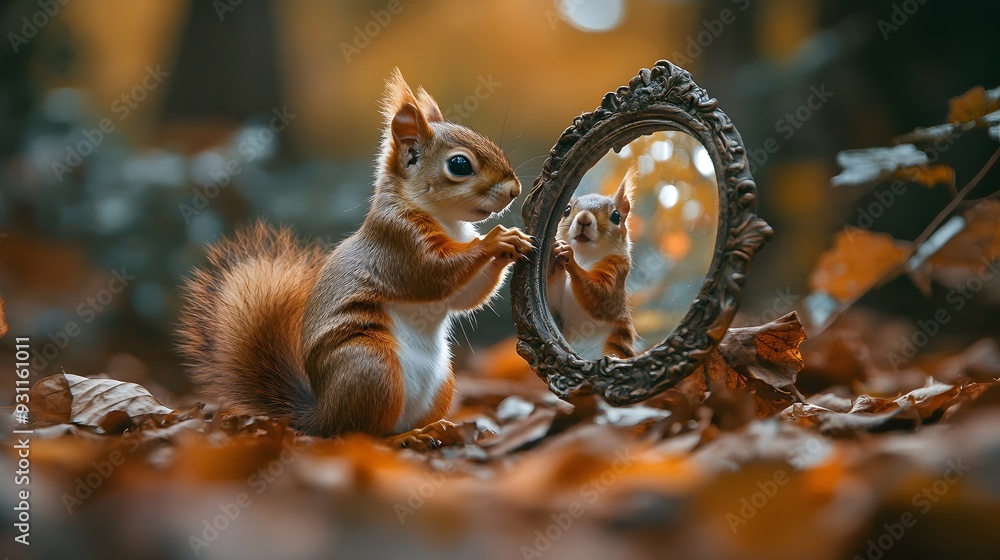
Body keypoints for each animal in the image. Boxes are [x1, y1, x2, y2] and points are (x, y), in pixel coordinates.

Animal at [177, 69, 532, 438]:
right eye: (460, 164)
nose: (515, 190)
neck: (446, 221)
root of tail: (320, 416)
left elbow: (465, 297)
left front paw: (514, 242)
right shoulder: (398, 242)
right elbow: (433, 273)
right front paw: (495, 240)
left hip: (439, 382)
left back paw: (437, 427)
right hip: (370, 365)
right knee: (362, 432)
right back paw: (408, 437)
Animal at [547, 169, 638, 360]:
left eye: (616, 216)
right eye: (566, 210)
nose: (584, 219)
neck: (584, 255)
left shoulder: (616, 270)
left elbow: (600, 296)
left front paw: (569, 256)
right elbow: (552, 298)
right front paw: (555, 255)